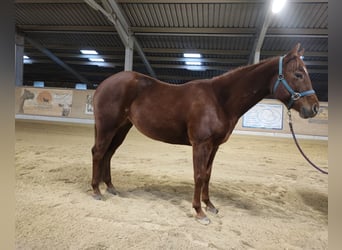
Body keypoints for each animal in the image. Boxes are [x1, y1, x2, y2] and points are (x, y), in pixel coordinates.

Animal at [90, 44, 318, 225]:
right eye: (298, 74)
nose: (314, 108)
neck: (219, 99)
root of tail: (103, 84)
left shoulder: (214, 146)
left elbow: (208, 175)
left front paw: (210, 205)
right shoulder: (201, 144)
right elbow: (199, 175)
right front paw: (199, 212)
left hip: (122, 128)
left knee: (109, 153)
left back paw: (110, 187)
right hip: (107, 127)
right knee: (99, 152)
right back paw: (96, 191)